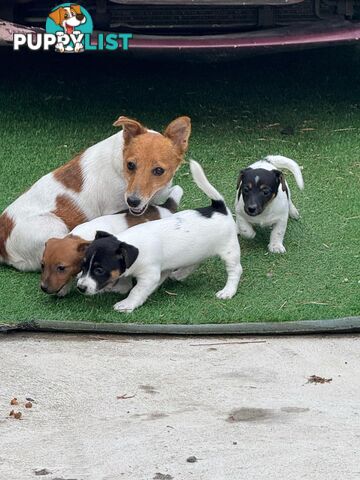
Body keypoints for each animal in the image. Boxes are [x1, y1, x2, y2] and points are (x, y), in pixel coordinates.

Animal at [77, 159, 243, 314]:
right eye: (83, 266)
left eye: (99, 270)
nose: (80, 288)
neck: (132, 243)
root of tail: (219, 208)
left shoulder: (149, 275)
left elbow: (136, 290)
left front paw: (126, 304)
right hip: (197, 250)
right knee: (194, 262)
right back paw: (180, 274)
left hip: (230, 250)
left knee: (235, 270)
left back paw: (228, 291)